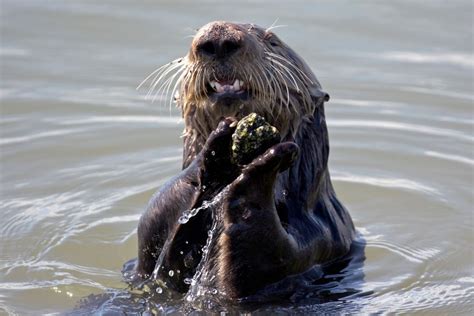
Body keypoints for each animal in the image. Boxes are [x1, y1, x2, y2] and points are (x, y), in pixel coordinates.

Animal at [135, 20, 354, 298]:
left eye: (272, 41)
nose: (218, 37)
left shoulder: (320, 240)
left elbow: (258, 260)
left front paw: (262, 165)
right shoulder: (151, 238)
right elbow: (159, 224)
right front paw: (217, 147)